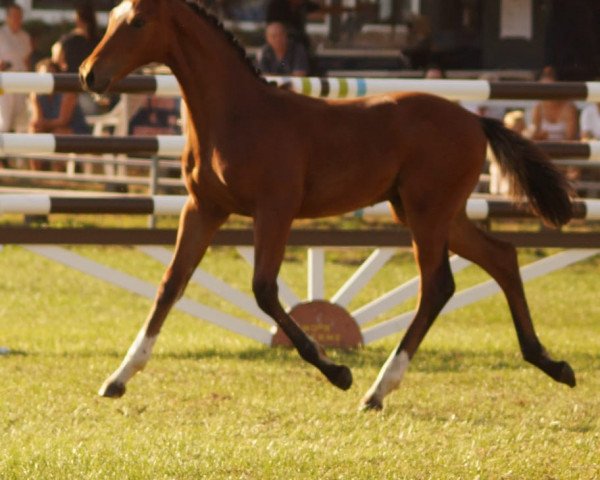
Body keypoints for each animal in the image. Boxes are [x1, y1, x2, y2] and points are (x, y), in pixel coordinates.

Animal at [77, 0, 576, 412]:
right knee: (502, 257)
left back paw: (378, 389)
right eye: (112, 17)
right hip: (433, 212)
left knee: (437, 287)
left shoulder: (274, 210)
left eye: (138, 22)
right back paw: (551, 363)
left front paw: (337, 371)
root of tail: (474, 119)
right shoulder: (203, 208)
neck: (236, 116)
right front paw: (118, 378)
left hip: (427, 213)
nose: (88, 74)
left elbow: (264, 290)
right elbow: (170, 284)